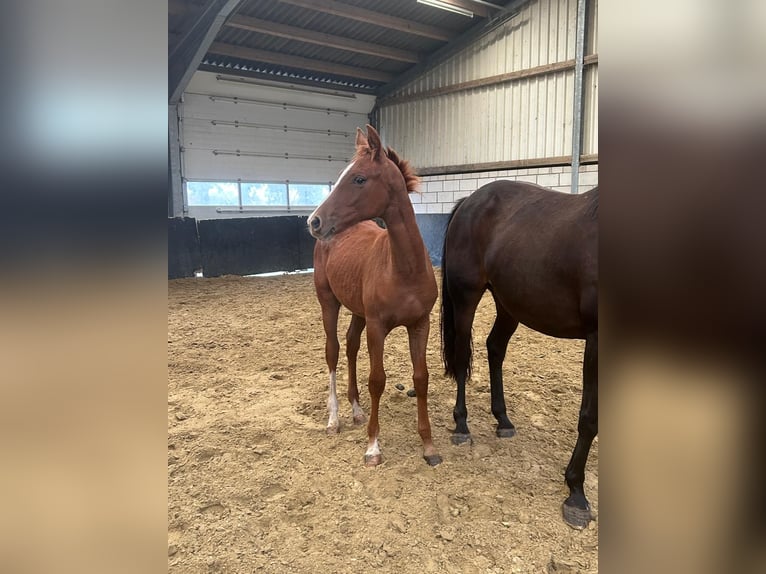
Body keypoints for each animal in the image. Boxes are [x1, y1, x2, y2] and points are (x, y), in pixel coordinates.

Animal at [308, 125, 440, 468]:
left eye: (359, 178)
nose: (314, 221)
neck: (403, 268)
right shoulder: (378, 327)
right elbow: (377, 380)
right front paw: (373, 448)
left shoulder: (420, 324)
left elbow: (421, 378)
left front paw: (429, 446)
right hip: (328, 302)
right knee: (333, 350)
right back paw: (334, 419)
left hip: (358, 312)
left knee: (351, 345)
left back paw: (356, 411)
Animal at [444, 181, 600, 532]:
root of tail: (470, 201)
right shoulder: (597, 340)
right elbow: (589, 418)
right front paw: (576, 494)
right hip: (466, 296)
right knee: (462, 356)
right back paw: (462, 426)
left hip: (509, 303)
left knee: (495, 347)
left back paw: (502, 419)